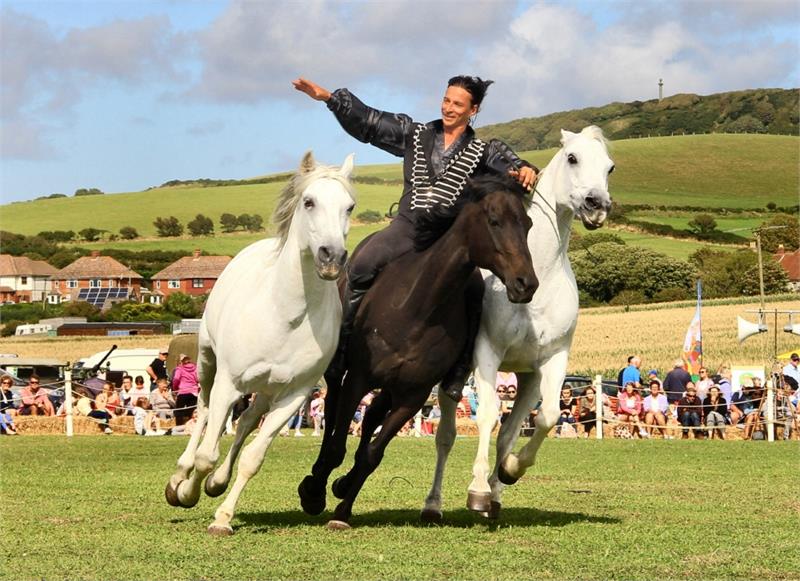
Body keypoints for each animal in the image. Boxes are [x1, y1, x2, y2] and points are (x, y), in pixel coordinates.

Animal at [164, 151, 354, 536]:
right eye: (309, 202)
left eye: (350, 207)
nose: (332, 257)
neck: (285, 314)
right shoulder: (230, 382)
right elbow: (207, 453)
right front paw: (188, 492)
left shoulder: (294, 396)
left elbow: (253, 457)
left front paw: (223, 516)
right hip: (207, 364)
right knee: (204, 412)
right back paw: (179, 479)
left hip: (266, 390)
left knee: (247, 421)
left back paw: (217, 483)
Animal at [298, 172, 536, 524]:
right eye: (494, 221)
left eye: (528, 224)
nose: (526, 283)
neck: (419, 308)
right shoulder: (357, 379)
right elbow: (338, 441)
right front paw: (315, 491)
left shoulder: (413, 396)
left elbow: (373, 455)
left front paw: (343, 506)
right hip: (343, 374)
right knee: (333, 411)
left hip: (393, 387)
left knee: (371, 416)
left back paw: (342, 484)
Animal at [424, 125, 612, 516]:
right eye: (573, 158)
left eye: (610, 167)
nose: (597, 206)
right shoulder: (488, 354)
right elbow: (487, 416)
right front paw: (478, 489)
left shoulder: (551, 362)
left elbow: (545, 418)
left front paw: (508, 472)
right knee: (446, 437)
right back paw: (433, 503)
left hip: (527, 379)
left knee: (510, 430)